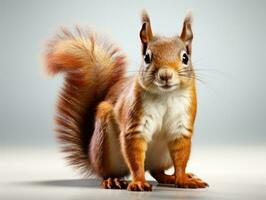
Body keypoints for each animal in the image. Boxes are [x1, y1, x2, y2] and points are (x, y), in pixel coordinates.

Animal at [43, 10, 209, 191]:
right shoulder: (134, 124)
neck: (165, 96)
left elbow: (181, 159)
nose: (165, 75)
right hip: (104, 147)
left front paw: (184, 180)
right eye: (147, 57)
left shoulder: (182, 127)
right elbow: (135, 159)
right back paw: (113, 180)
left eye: (185, 57)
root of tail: (92, 158)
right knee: (109, 172)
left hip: (163, 157)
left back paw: (172, 177)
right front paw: (139, 182)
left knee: (156, 172)